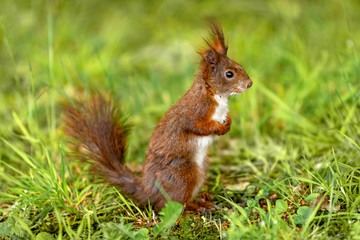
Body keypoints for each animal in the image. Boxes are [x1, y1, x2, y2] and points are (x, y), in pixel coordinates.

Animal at [65, 23, 253, 210]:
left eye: (239, 66)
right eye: (229, 74)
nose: (250, 84)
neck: (215, 95)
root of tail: (148, 190)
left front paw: (228, 124)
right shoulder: (195, 111)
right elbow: (196, 126)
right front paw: (219, 128)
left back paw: (203, 198)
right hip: (184, 175)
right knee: (172, 204)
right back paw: (197, 207)